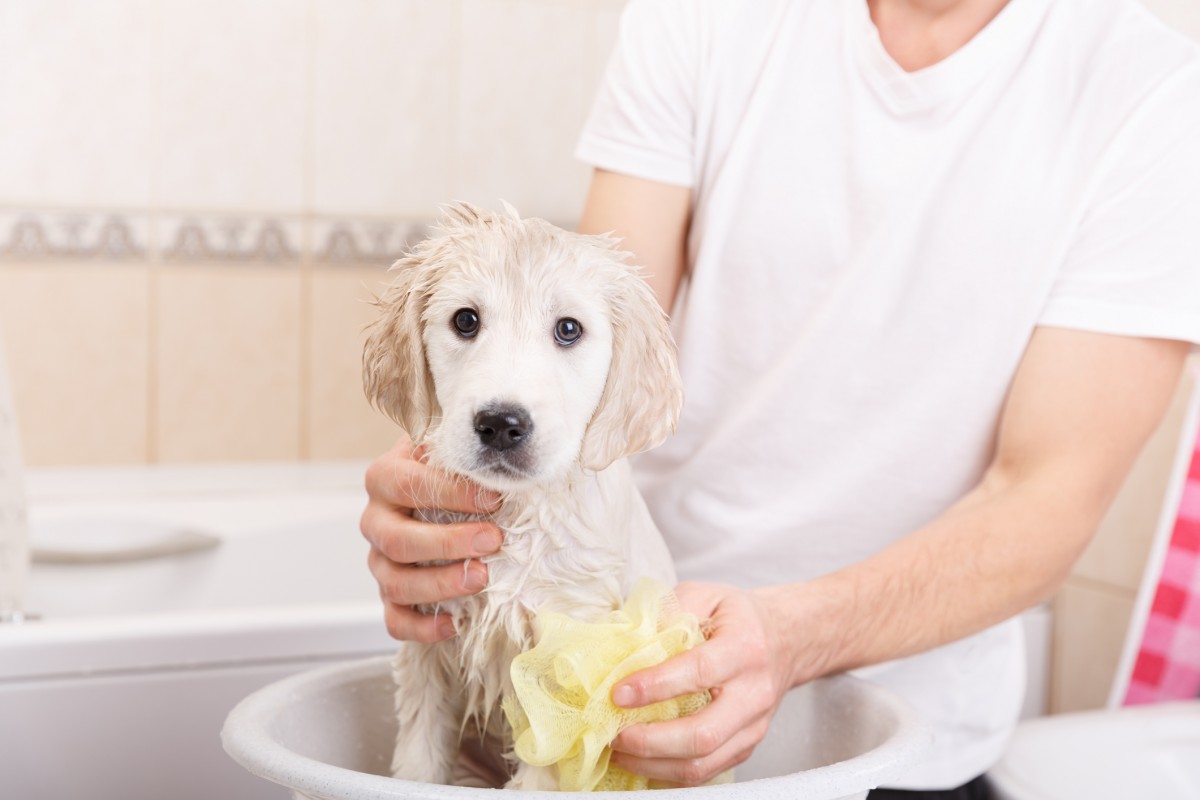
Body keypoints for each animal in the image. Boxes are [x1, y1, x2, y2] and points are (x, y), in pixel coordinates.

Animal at [360, 203, 686, 791]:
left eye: (568, 329)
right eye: (465, 320)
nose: (501, 424)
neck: (518, 511)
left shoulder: (563, 659)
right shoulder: (428, 638)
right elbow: (419, 753)